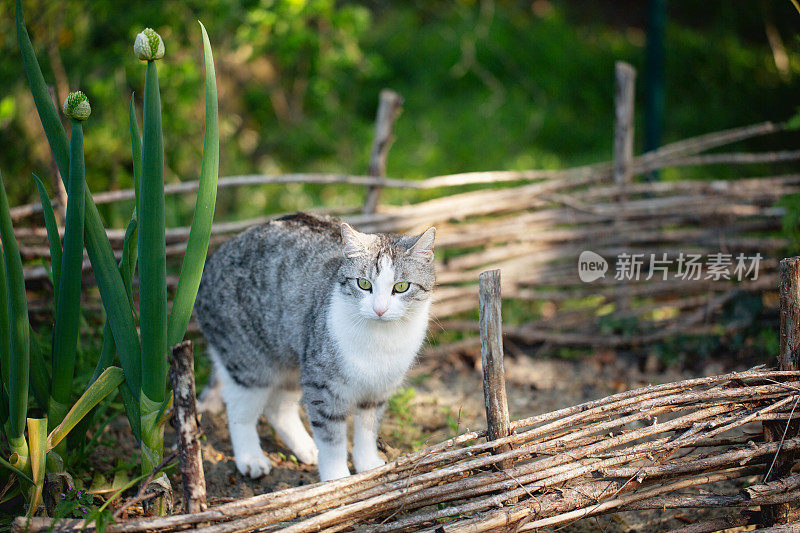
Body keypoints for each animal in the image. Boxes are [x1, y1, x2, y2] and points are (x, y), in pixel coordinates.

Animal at [195, 213, 438, 482]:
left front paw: (367, 465)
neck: (380, 340)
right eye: (364, 284)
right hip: (250, 362)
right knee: (239, 409)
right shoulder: (323, 386)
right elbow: (331, 439)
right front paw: (337, 479)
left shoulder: (377, 390)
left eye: (401, 287)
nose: (380, 309)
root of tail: (211, 260)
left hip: (293, 359)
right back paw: (251, 458)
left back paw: (306, 449)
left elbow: (367, 431)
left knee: (277, 409)